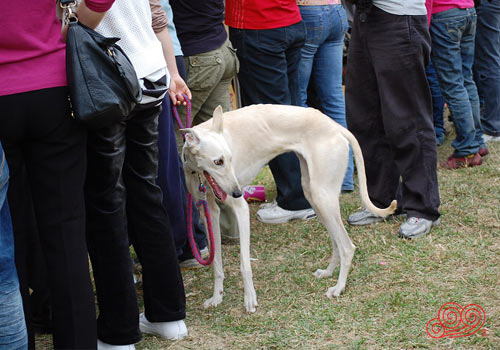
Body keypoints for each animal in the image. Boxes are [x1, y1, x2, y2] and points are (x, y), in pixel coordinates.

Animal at [182, 104, 396, 312]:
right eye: (218, 161)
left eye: (230, 159)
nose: (236, 192)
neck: (199, 172)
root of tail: (335, 126)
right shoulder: (210, 213)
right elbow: (216, 262)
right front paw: (217, 297)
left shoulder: (241, 209)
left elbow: (244, 264)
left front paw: (250, 299)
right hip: (316, 197)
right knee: (337, 242)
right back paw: (328, 272)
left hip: (323, 196)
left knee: (347, 247)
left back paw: (339, 287)